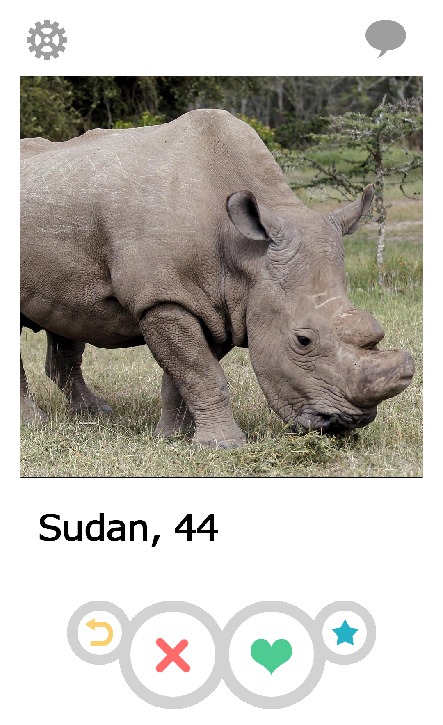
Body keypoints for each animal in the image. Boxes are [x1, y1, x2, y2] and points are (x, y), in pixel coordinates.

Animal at [20, 109, 414, 447]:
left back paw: (95, 413)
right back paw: (34, 423)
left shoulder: (222, 303)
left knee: (68, 315)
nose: (346, 423)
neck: (247, 252)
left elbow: (185, 374)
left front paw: (174, 437)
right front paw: (224, 445)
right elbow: (202, 373)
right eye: (303, 340)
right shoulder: (164, 298)